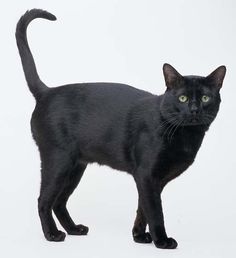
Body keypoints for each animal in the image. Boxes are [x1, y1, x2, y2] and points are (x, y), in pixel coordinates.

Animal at [15, 9, 226, 248]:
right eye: (182, 98)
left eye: (205, 98)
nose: (194, 109)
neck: (185, 135)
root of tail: (47, 92)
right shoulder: (146, 175)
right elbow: (155, 212)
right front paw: (161, 241)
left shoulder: (153, 181)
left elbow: (142, 209)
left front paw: (139, 236)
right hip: (58, 161)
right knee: (44, 200)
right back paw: (52, 234)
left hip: (76, 167)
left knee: (59, 202)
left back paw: (73, 229)